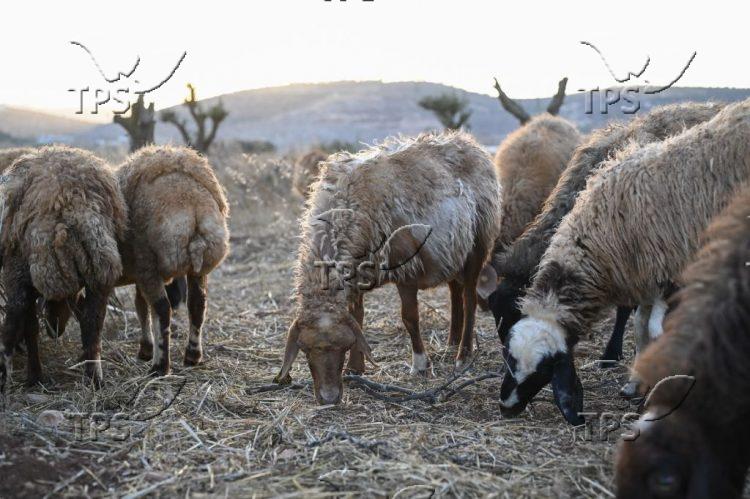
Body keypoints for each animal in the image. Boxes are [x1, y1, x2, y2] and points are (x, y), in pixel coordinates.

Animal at [0, 146, 127, 390]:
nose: (55, 330)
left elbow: (30, 326)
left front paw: (34, 375)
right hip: (100, 267)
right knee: (93, 322)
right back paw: (94, 378)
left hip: (22, 268)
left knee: (14, 319)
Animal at [275, 132, 501, 405]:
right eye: (306, 350)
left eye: (341, 346)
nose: (329, 398)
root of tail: (467, 141)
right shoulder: (356, 276)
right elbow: (358, 317)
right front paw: (355, 368)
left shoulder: (407, 269)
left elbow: (410, 318)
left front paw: (421, 365)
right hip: (454, 248)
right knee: (455, 291)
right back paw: (451, 342)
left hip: (478, 243)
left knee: (469, 298)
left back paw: (463, 355)